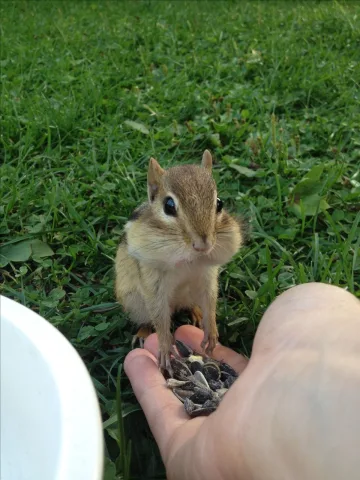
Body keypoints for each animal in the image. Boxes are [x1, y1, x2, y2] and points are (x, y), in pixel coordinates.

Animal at [115, 150, 248, 376]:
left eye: (219, 203)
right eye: (168, 206)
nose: (203, 244)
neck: (189, 259)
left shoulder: (207, 277)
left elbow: (210, 300)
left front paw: (211, 332)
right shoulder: (153, 282)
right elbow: (159, 315)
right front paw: (164, 346)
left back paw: (196, 314)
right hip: (134, 301)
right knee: (147, 318)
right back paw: (143, 332)